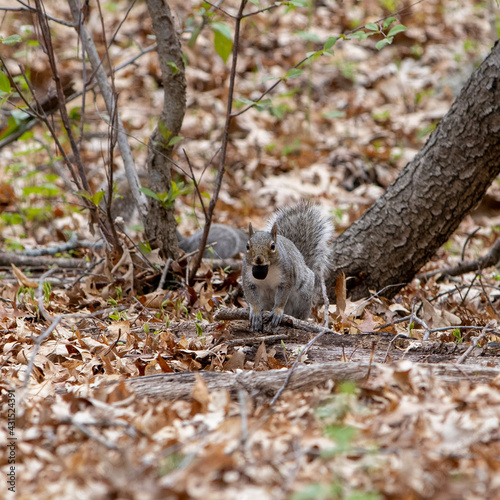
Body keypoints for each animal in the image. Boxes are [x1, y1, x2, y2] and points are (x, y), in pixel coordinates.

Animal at [243, 201, 336, 330]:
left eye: (273, 246)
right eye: (247, 246)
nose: (258, 259)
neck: (265, 270)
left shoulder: (287, 276)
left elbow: (282, 296)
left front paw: (277, 312)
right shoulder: (247, 277)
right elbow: (251, 296)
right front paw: (256, 312)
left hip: (303, 296)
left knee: (300, 313)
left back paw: (298, 320)